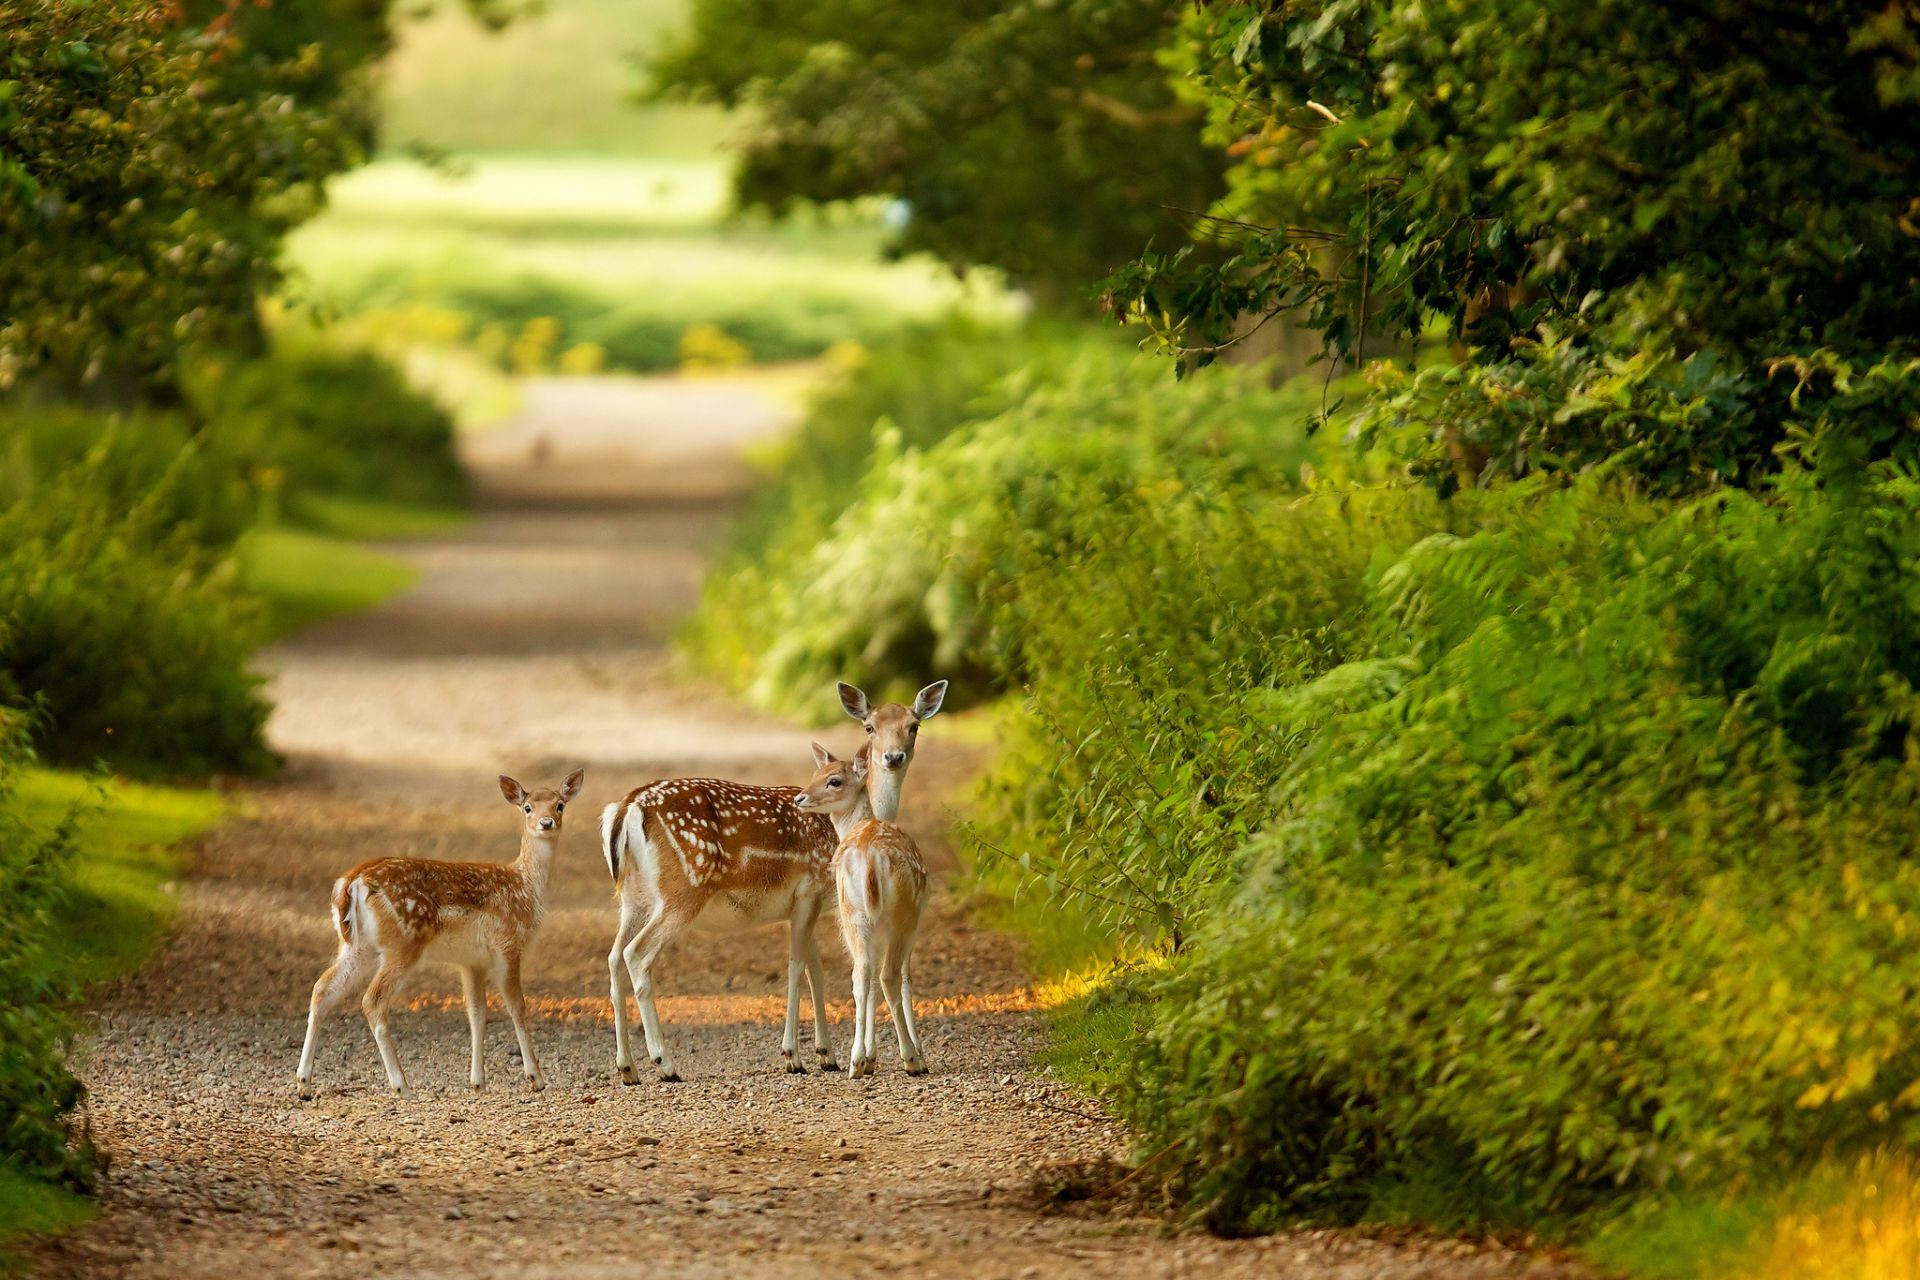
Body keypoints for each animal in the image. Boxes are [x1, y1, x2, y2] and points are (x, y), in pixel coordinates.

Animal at [295, 771, 579, 1105]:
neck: (526, 887)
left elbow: (477, 1013)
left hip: (356, 946)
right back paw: (402, 1085)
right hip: (404, 943)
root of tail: (350, 882)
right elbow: (517, 1007)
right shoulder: (507, 944)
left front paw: (478, 1082)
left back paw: (304, 1084)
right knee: (372, 1000)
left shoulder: (471, 961)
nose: (546, 823)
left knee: (322, 989)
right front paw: (536, 1078)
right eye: (527, 807)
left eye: (560, 805)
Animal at [794, 740, 929, 1082]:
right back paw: (911, 1059)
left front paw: (869, 1058)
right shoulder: (912, 920)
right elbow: (906, 977)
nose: (800, 798)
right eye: (814, 774)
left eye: (833, 780)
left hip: (852, 913)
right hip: (901, 915)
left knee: (861, 975)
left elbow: (865, 982)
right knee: (889, 975)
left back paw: (856, 1061)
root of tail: (869, 858)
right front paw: (914, 1053)